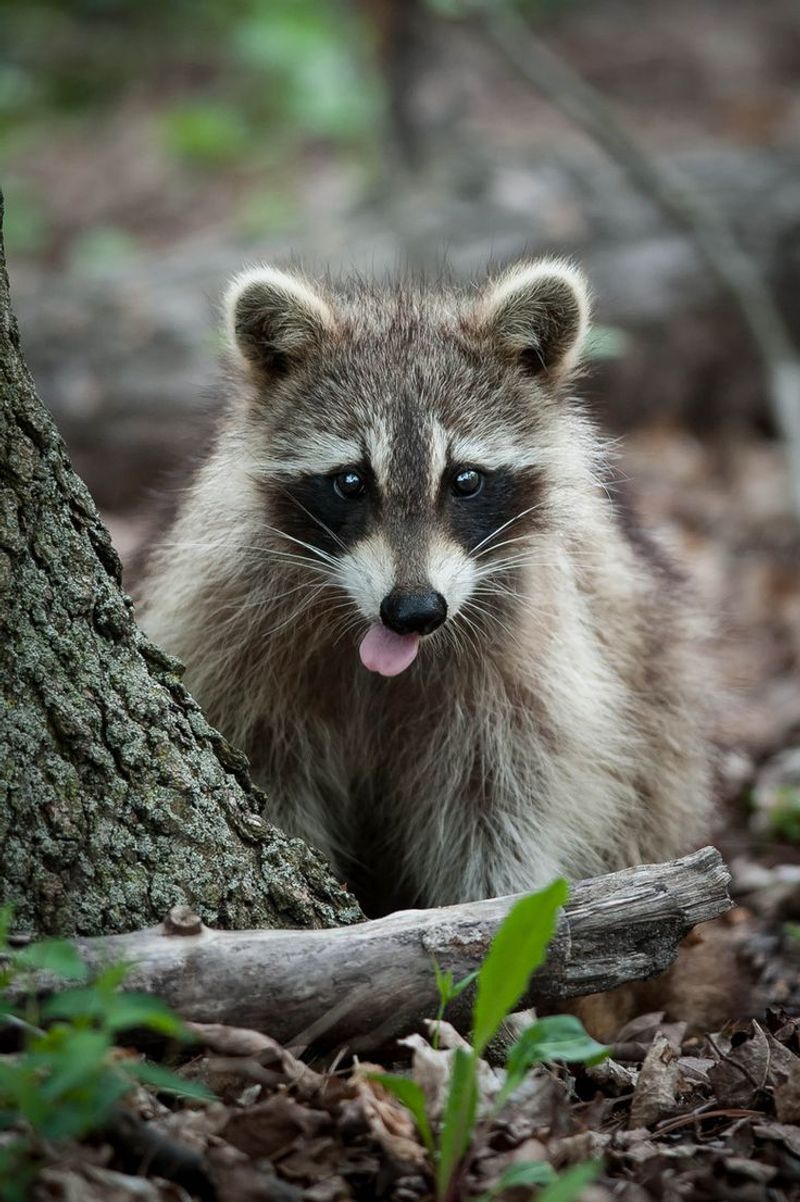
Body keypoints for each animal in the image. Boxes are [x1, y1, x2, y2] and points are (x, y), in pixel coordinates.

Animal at [139, 263, 706, 913]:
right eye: (351, 481)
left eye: (465, 480)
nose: (413, 611)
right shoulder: (233, 637)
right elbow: (272, 779)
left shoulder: (527, 682)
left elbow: (500, 807)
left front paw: (490, 911)